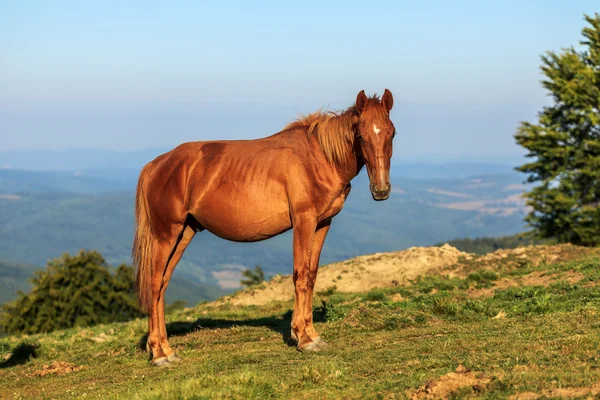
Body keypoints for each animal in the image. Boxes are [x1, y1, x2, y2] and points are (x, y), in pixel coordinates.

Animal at [135, 90, 398, 366]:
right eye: (360, 135)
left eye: (391, 133)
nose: (381, 190)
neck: (319, 158)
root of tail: (155, 165)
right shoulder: (303, 221)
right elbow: (300, 274)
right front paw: (303, 338)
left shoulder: (323, 223)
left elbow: (312, 276)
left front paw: (313, 335)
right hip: (166, 235)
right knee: (154, 283)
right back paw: (159, 354)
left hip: (184, 233)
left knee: (163, 285)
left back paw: (166, 350)